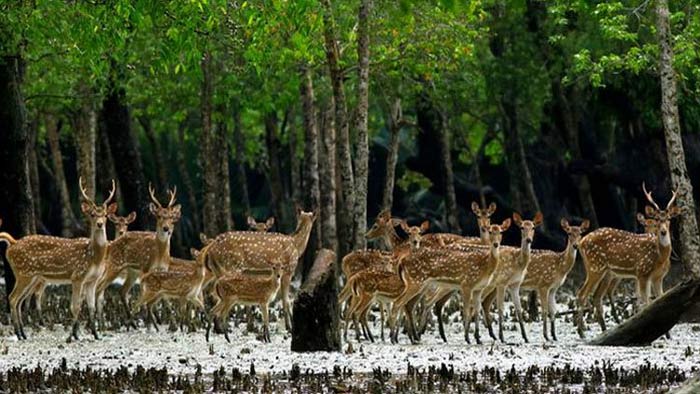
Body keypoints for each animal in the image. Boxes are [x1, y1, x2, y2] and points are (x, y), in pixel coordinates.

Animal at [0, 179, 116, 342]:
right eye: (92, 214)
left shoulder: (92, 280)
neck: (94, 257)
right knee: (12, 298)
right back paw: (18, 333)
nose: (100, 223)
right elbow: (75, 306)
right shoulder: (77, 276)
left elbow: (91, 307)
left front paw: (95, 334)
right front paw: (72, 336)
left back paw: (23, 333)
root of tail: (13, 243)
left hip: (31, 277)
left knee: (19, 300)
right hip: (24, 273)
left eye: (105, 215)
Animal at [96, 183, 182, 324]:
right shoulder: (146, 268)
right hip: (115, 265)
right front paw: (150, 319)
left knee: (122, 291)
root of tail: (111, 244)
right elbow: (146, 295)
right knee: (99, 286)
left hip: (132, 271)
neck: (159, 254)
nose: (166, 228)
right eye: (158, 216)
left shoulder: (163, 270)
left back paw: (131, 321)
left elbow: (164, 297)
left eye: (171, 217)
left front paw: (168, 320)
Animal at [576, 183, 680, 338]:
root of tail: (581, 241)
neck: (660, 257)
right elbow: (646, 302)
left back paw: (604, 330)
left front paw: (668, 335)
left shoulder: (658, 277)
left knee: (596, 296)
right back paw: (581, 332)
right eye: (656, 218)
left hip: (605, 271)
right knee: (582, 294)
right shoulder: (642, 272)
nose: (663, 232)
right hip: (595, 266)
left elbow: (660, 299)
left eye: (668, 218)